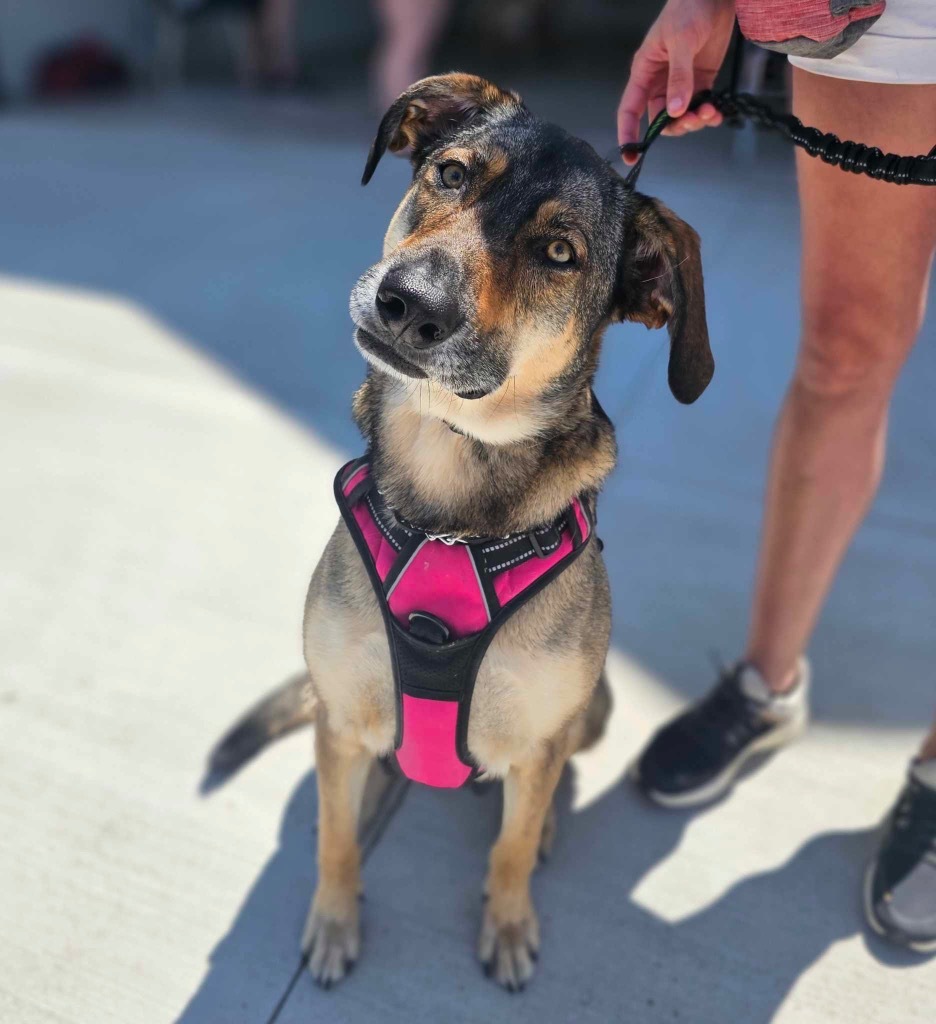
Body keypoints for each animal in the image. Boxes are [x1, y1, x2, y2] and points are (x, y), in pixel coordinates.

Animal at [209, 72, 708, 991]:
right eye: (451, 173)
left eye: (560, 253)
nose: (410, 306)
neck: (449, 505)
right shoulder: (341, 713)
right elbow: (340, 839)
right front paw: (334, 919)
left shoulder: (542, 730)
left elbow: (510, 843)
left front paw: (508, 920)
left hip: (597, 704)